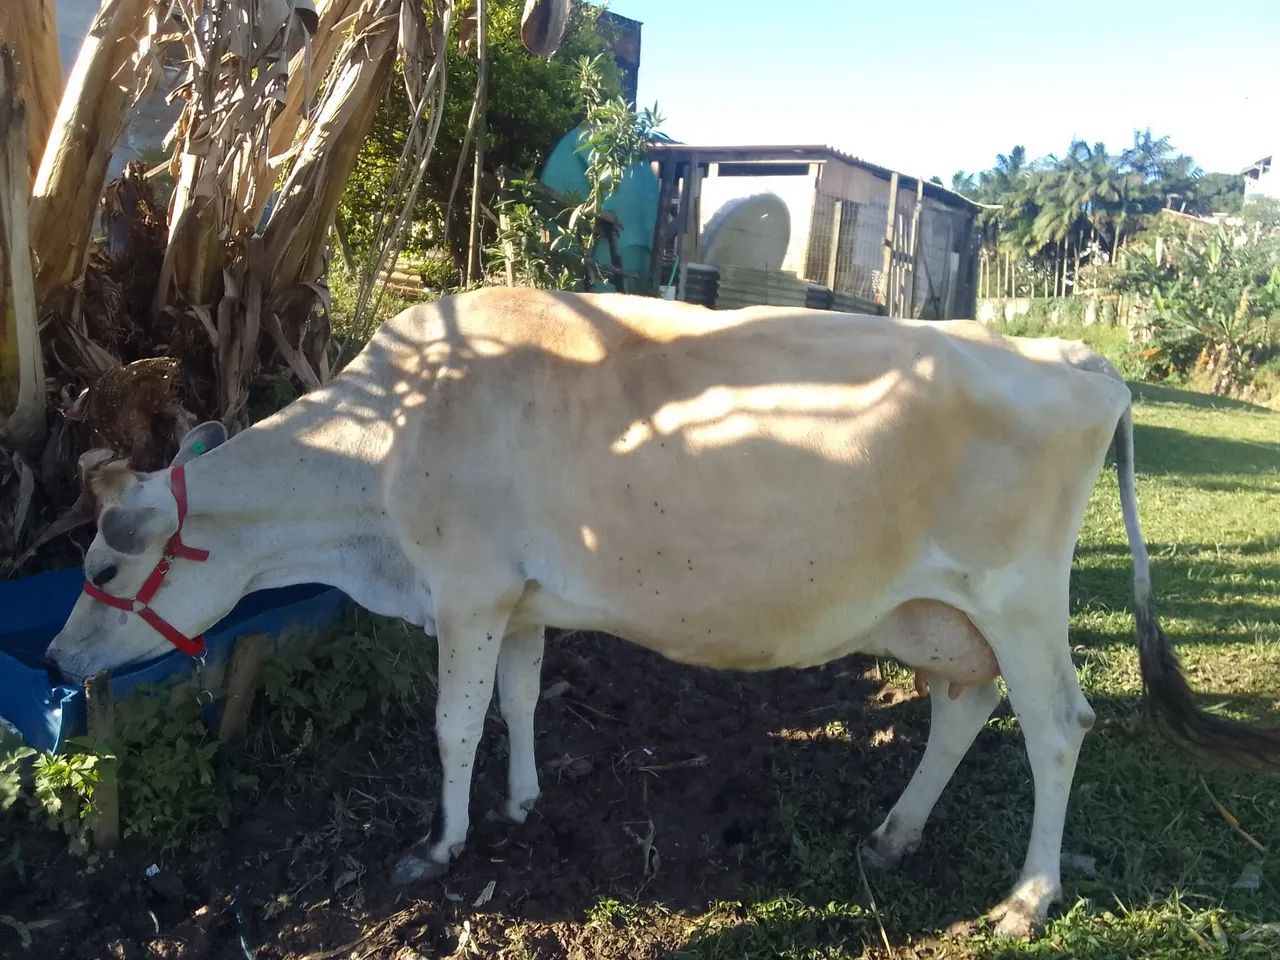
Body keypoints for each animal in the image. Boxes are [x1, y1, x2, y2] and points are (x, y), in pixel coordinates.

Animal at [45, 288, 1280, 938]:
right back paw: (893, 835)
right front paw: (525, 802)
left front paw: (440, 845)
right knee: (961, 708)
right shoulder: (521, 599)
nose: (55, 657)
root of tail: (1081, 357)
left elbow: (451, 726)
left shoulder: (465, 587)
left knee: (1059, 727)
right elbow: (519, 701)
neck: (378, 458)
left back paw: (1025, 899)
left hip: (1019, 603)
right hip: (943, 613)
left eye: (102, 567)